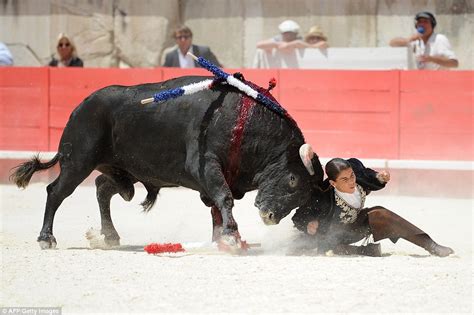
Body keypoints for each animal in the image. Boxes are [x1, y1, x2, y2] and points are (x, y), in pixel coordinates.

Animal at [10, 76, 322, 249]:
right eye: (293, 180)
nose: (270, 217)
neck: (243, 122)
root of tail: (80, 106)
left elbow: (216, 208)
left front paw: (220, 238)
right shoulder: (206, 166)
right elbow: (224, 199)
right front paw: (231, 237)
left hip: (124, 173)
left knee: (102, 188)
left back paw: (109, 236)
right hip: (77, 162)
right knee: (56, 192)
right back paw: (46, 238)